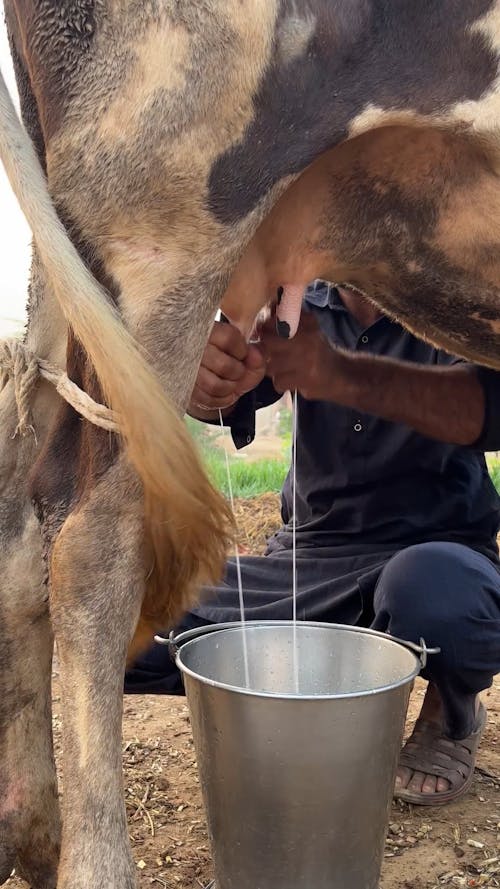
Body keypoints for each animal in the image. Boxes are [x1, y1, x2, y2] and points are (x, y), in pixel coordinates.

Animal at [0, 1, 500, 888]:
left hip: (71, 267)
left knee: (29, 515)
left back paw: (32, 835)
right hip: (170, 202)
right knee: (91, 546)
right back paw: (91, 864)